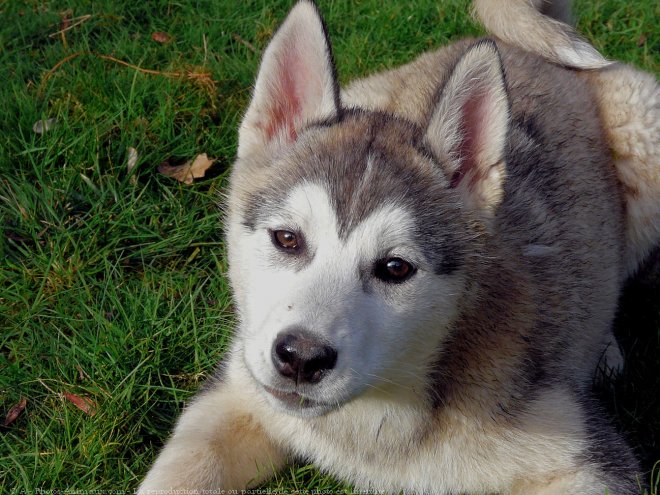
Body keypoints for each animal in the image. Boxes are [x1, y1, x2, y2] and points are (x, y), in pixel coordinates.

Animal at [138, 0, 656, 495]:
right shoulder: (236, 396)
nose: (300, 358)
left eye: (395, 268)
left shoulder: (584, 456)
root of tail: (520, 46)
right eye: (287, 238)